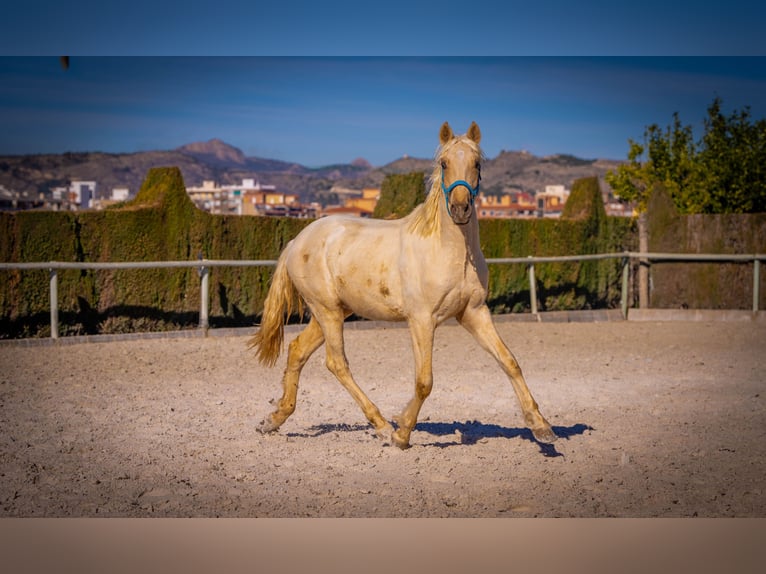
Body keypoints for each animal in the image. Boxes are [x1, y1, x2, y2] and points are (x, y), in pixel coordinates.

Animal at [252, 122, 560, 450]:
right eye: (443, 163)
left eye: (477, 163)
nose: (460, 208)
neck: (449, 252)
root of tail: (298, 241)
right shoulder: (422, 320)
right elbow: (424, 381)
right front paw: (401, 433)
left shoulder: (474, 313)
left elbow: (510, 362)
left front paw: (541, 427)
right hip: (327, 312)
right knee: (337, 363)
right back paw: (382, 427)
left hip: (333, 312)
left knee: (297, 350)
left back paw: (273, 420)